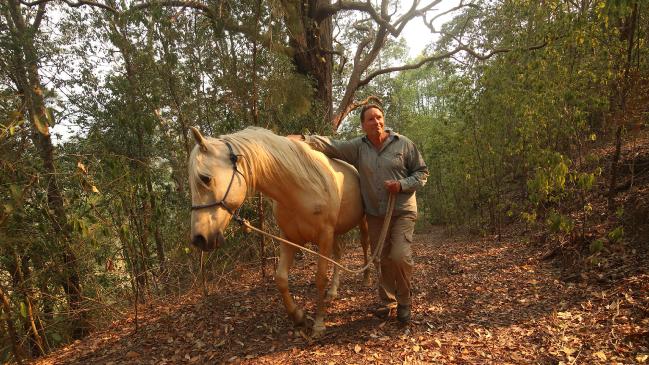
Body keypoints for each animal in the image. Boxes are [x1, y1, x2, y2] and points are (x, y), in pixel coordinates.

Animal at [187, 126, 370, 336]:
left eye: (205, 178)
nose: (199, 239)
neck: (301, 187)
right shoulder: (290, 238)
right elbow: (281, 278)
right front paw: (298, 316)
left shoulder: (324, 235)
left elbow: (319, 278)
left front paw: (319, 324)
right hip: (335, 233)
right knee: (338, 255)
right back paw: (332, 292)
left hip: (361, 223)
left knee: (365, 245)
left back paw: (366, 279)